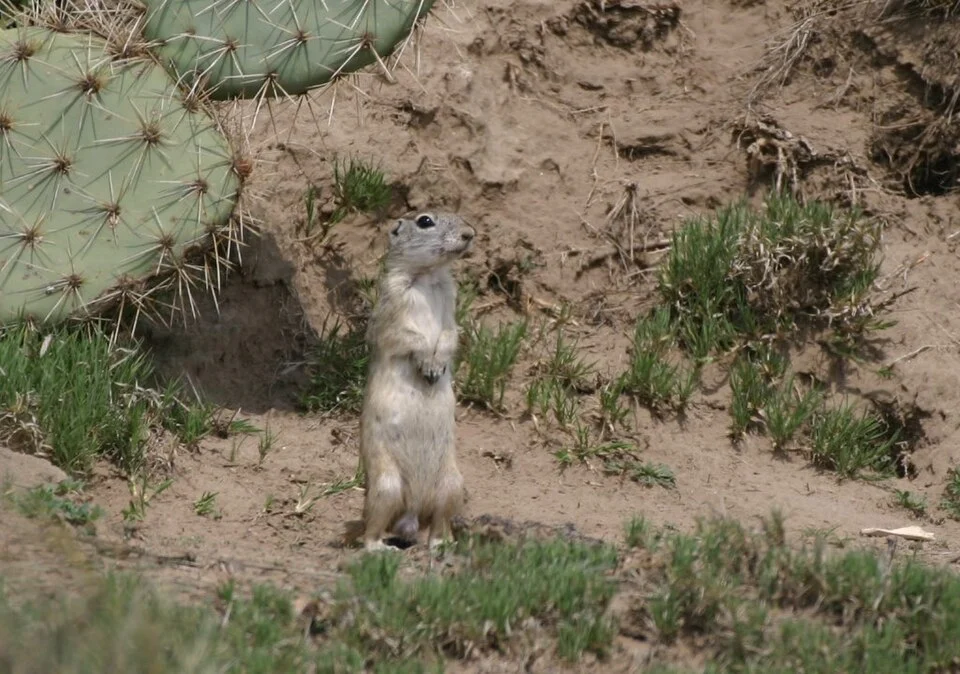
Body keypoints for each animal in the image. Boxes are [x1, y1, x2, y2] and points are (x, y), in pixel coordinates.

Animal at [354, 211, 476, 551]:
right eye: (424, 221)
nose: (470, 234)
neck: (428, 277)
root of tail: (412, 513)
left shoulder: (451, 311)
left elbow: (449, 336)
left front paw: (437, 366)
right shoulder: (392, 311)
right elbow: (410, 337)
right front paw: (427, 365)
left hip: (452, 486)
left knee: (439, 525)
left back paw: (444, 544)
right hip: (386, 487)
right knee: (369, 532)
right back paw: (381, 549)